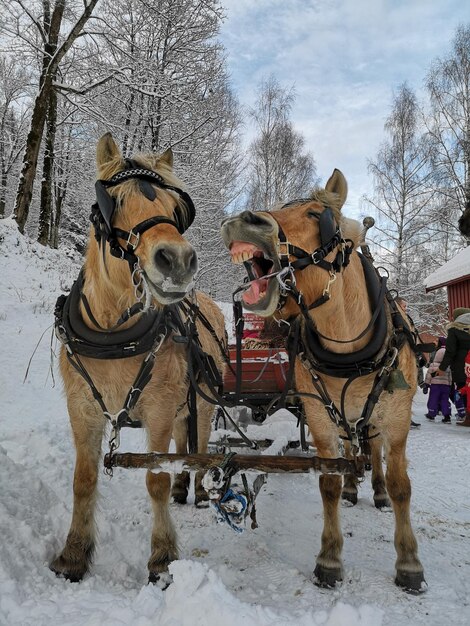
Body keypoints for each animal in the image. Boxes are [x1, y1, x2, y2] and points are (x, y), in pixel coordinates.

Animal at [50, 133, 227, 584]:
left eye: (175, 209)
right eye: (113, 202)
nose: (179, 261)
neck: (114, 337)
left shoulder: (160, 410)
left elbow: (155, 479)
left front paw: (162, 557)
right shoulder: (82, 409)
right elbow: (83, 479)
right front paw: (74, 554)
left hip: (201, 403)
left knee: (199, 448)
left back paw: (199, 490)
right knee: (185, 442)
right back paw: (185, 489)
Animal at [220, 169, 426, 588]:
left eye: (317, 215)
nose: (242, 221)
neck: (347, 352)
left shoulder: (396, 421)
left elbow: (402, 485)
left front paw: (408, 562)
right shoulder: (319, 417)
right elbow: (328, 480)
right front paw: (329, 557)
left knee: (373, 452)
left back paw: (376, 490)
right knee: (353, 451)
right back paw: (353, 486)